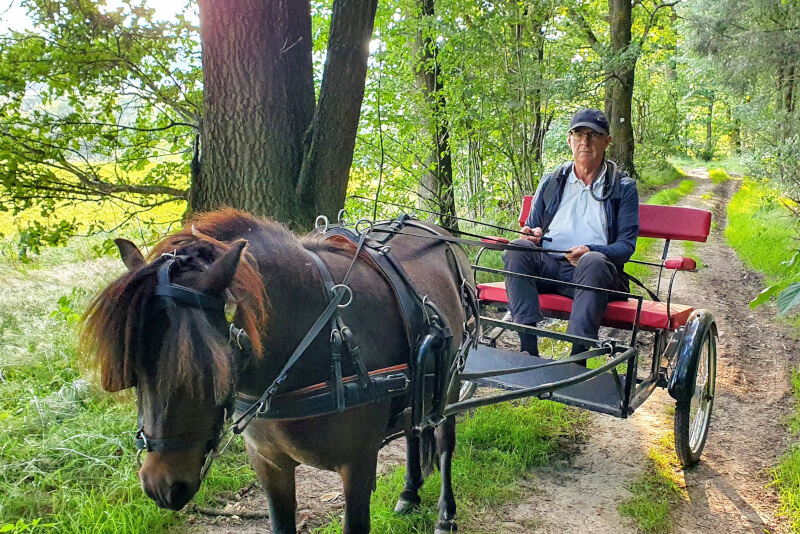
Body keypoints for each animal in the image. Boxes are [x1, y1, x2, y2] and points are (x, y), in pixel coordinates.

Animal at [81, 208, 475, 534]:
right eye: (132, 371)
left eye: (206, 373)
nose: (161, 486)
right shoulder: (270, 465)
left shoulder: (359, 465)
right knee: (413, 431)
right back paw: (409, 493)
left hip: (451, 384)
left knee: (443, 442)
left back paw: (445, 514)